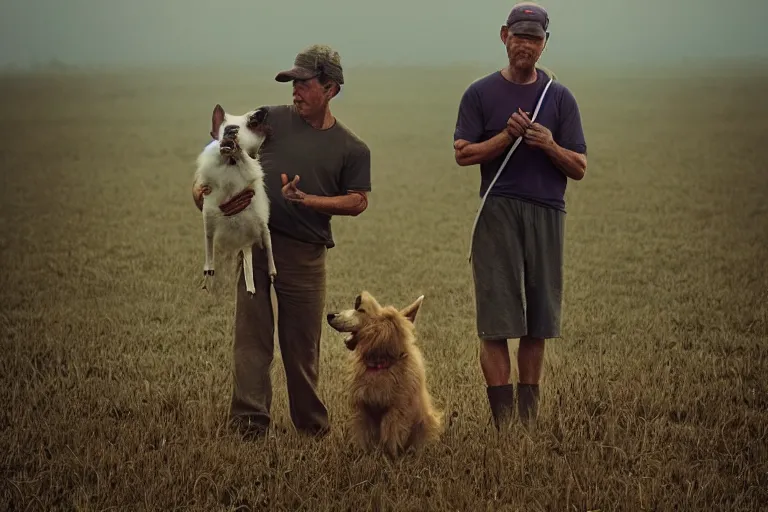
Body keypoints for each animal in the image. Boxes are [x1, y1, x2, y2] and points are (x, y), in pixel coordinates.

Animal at [326, 290, 444, 458]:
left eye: (361, 310)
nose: (329, 315)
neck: (379, 365)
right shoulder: (362, 409)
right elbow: (363, 437)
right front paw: (363, 456)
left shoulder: (396, 411)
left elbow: (391, 439)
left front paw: (389, 459)